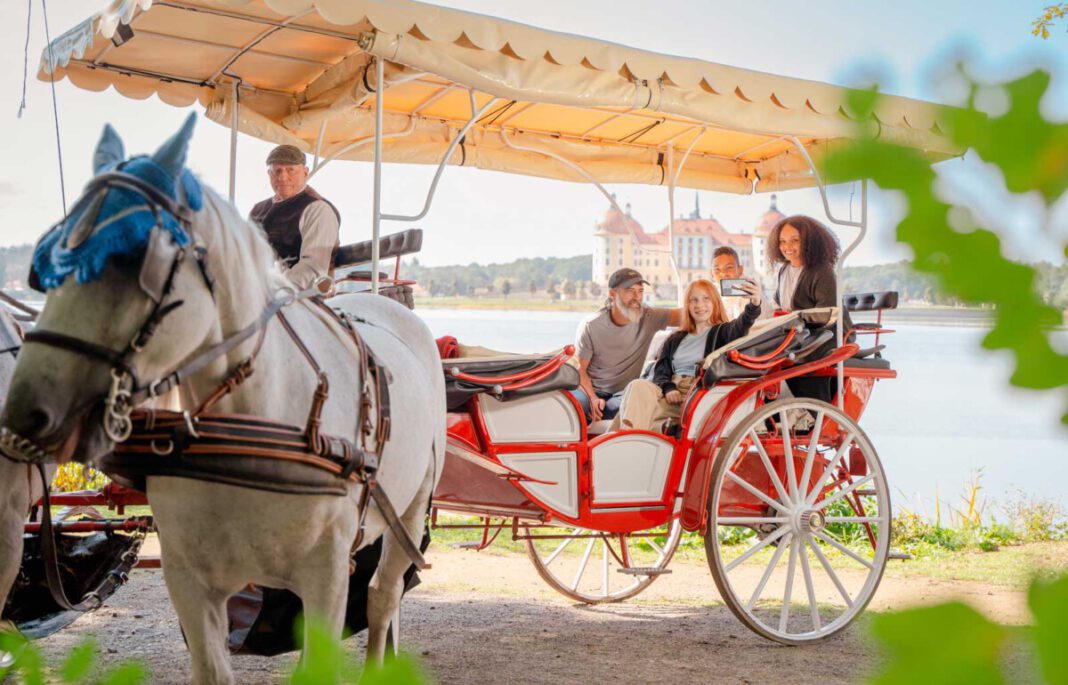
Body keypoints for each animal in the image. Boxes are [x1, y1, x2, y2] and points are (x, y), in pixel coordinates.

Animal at [0, 114, 446, 679]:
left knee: (382, 594)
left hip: (410, 508)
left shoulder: (324, 580)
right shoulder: (190, 580)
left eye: (135, 256)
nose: (24, 413)